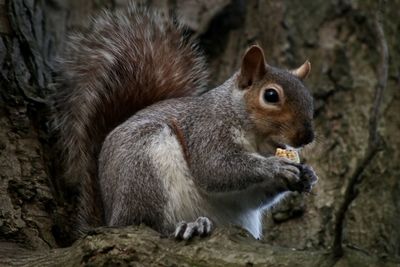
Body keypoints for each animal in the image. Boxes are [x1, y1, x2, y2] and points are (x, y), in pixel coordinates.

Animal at [54, 4, 318, 241]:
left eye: (309, 98)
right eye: (271, 95)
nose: (307, 137)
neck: (255, 139)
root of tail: (111, 218)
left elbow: (253, 196)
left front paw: (306, 174)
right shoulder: (207, 131)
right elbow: (216, 168)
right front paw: (275, 166)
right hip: (143, 167)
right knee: (149, 225)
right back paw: (190, 226)